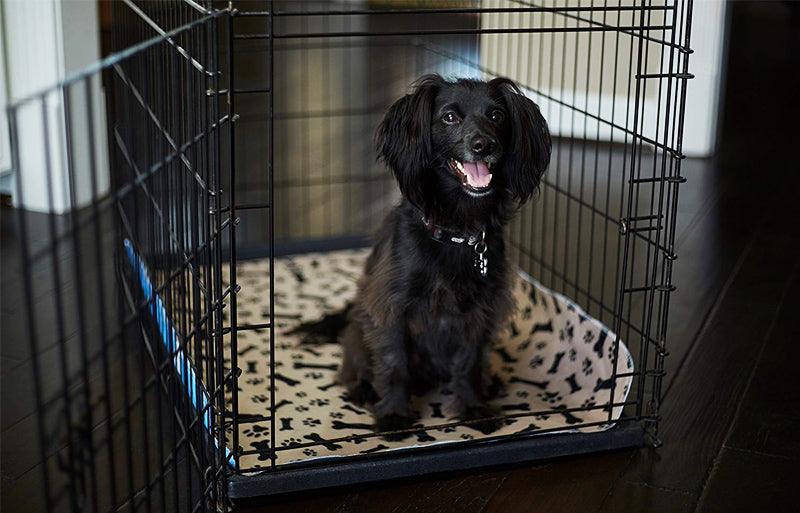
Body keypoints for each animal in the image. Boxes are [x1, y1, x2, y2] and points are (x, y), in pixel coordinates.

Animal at [294, 74, 552, 438]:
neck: (457, 230)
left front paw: (473, 408)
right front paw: (393, 414)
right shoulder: (391, 309)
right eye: (449, 117)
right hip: (359, 332)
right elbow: (394, 364)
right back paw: (363, 389)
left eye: (497, 116)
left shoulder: (481, 310)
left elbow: (470, 363)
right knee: (355, 367)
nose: (483, 145)